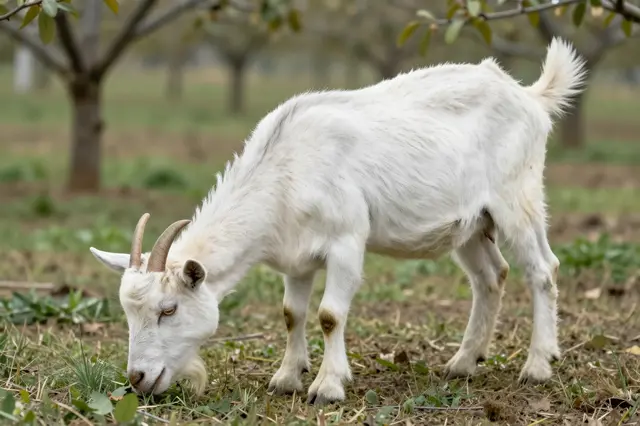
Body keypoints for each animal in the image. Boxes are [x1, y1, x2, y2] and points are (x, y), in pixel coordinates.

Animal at [90, 37, 586, 406]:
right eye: (128, 313)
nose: (137, 379)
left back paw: (537, 366)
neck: (286, 169)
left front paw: (328, 386)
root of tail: (529, 96)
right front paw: (287, 378)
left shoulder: (347, 240)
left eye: (168, 309)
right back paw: (463, 363)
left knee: (542, 269)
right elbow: (292, 313)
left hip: (517, 197)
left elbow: (330, 315)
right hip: (470, 224)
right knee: (490, 276)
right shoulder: (295, 257)